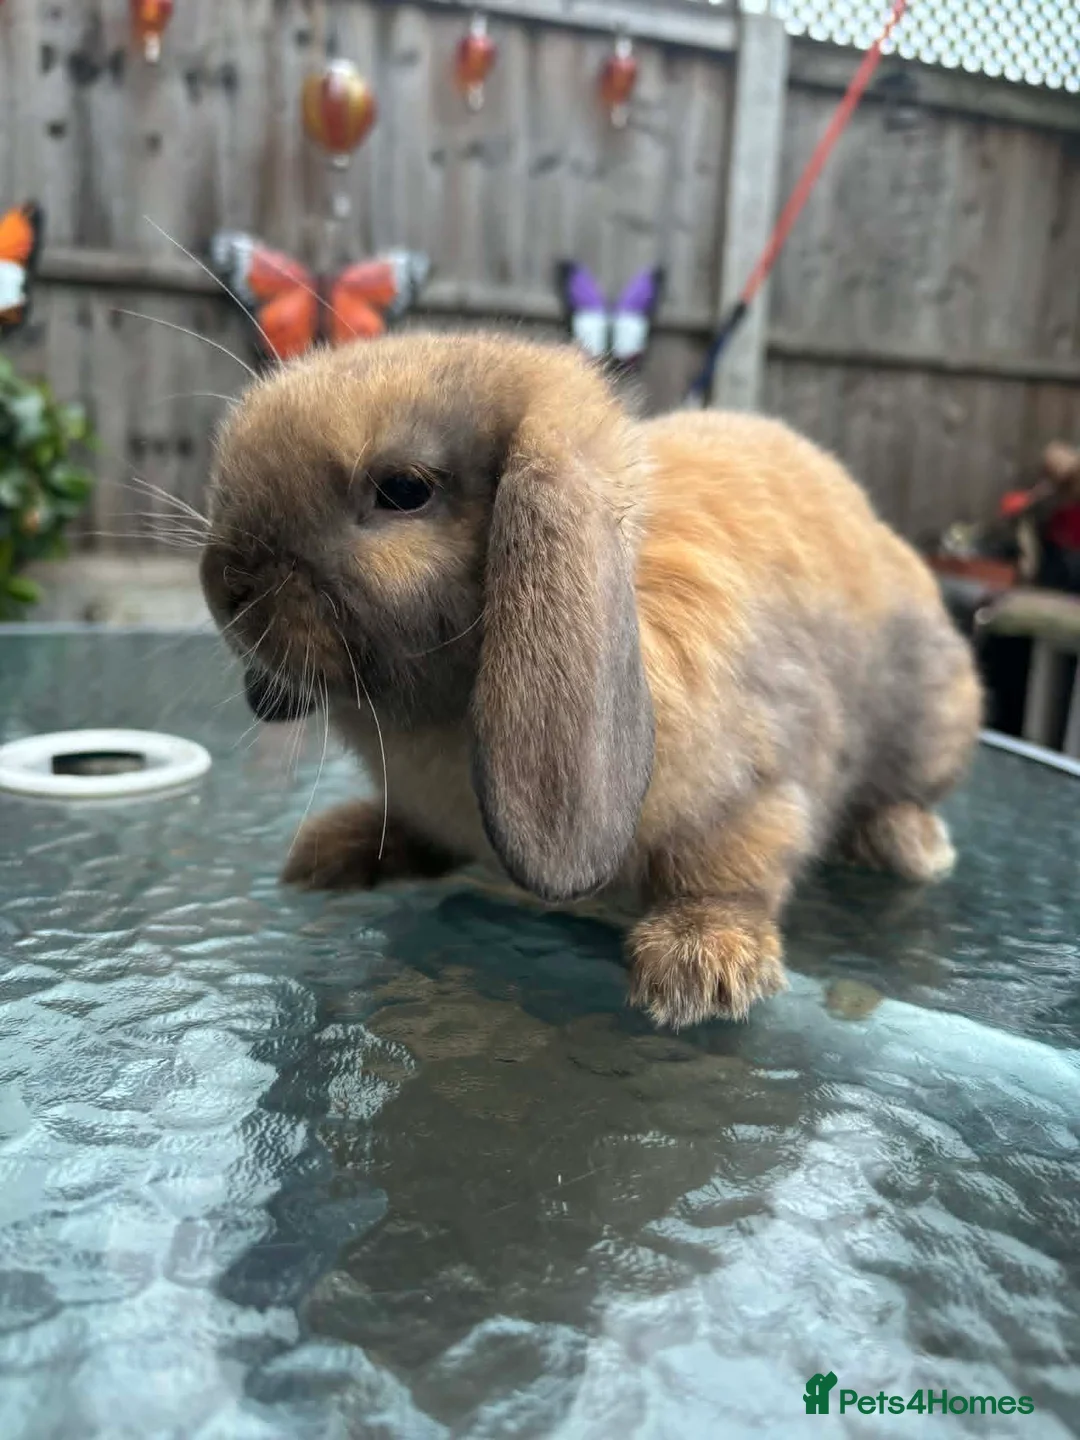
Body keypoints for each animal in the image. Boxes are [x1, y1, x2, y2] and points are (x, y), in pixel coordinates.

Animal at [200, 332, 982, 1030]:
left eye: (402, 489)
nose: (222, 582)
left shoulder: (755, 790)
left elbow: (733, 869)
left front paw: (700, 964)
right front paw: (332, 850)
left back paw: (912, 846)